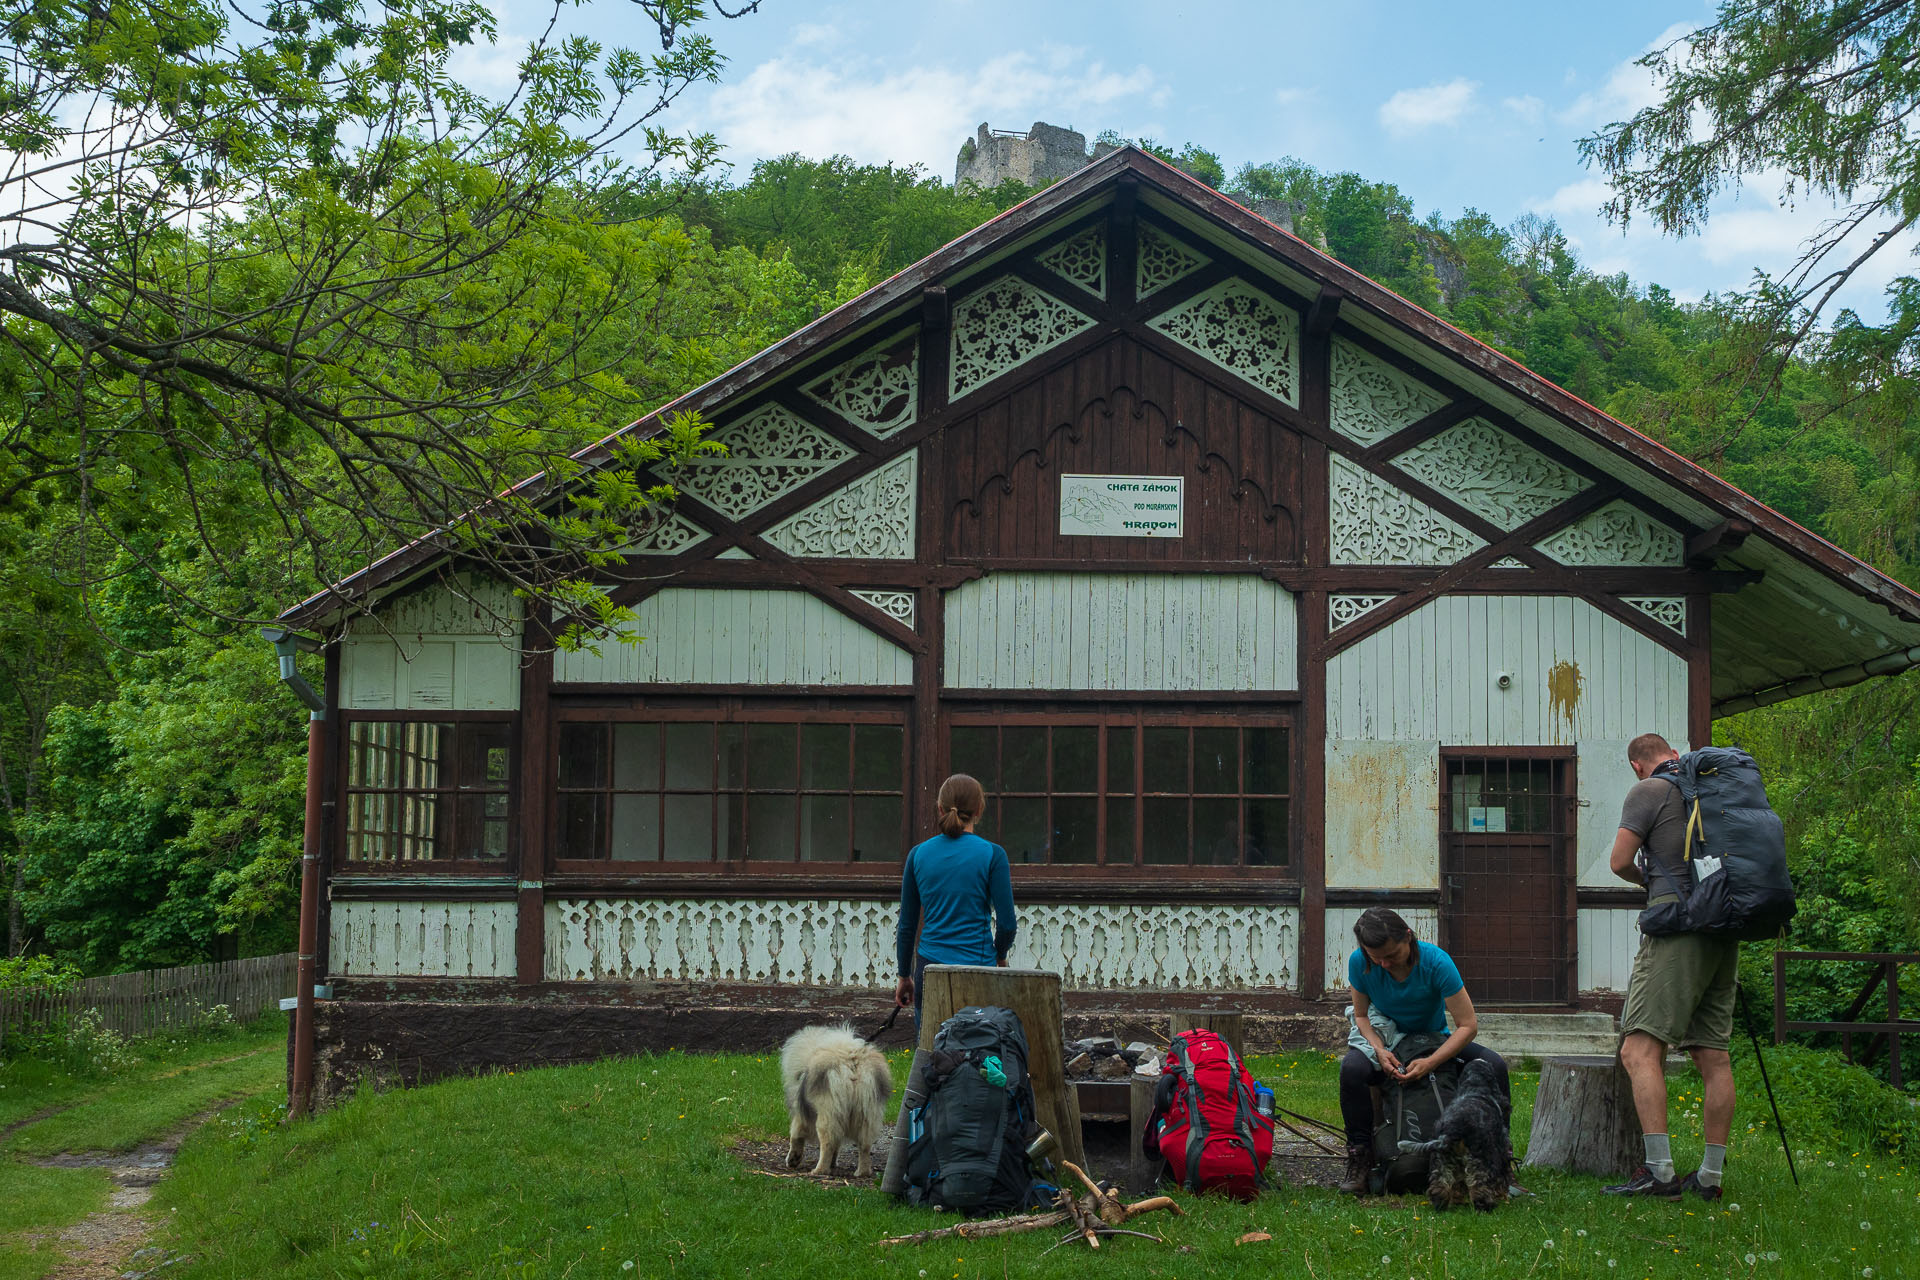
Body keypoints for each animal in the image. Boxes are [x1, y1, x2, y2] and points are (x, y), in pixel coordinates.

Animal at [779, 1020, 890, 1182]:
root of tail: (852, 1063)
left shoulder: (800, 1113)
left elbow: (796, 1135)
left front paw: (793, 1159)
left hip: (828, 1114)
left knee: (827, 1144)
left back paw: (819, 1170)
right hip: (866, 1113)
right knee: (864, 1146)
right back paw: (862, 1172)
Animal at [1397, 1059, 1512, 1212]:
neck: (1474, 1089)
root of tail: (1452, 1130)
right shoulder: (1501, 1145)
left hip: (1441, 1160)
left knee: (1440, 1185)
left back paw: (1442, 1205)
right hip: (1480, 1158)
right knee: (1479, 1185)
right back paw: (1486, 1206)